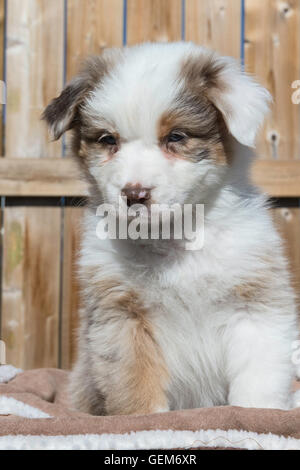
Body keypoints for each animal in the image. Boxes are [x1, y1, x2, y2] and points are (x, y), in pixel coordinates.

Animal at [43, 41, 298, 414]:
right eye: (107, 140)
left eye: (176, 136)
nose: (134, 194)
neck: (175, 237)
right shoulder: (122, 314)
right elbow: (135, 384)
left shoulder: (254, 302)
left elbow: (257, 379)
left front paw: (258, 411)